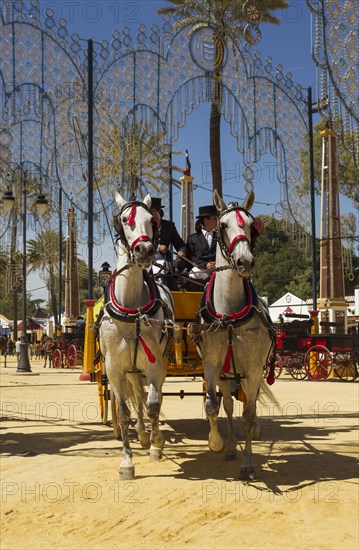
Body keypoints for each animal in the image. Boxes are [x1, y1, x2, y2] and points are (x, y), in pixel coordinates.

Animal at [100, 194, 174, 478]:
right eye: (124, 219)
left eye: (151, 220)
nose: (144, 250)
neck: (133, 311)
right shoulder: (114, 368)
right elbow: (123, 413)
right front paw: (127, 461)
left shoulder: (154, 363)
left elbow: (153, 404)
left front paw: (156, 444)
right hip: (131, 371)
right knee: (138, 398)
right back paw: (142, 434)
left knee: (153, 397)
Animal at [198, 191, 278, 484]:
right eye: (223, 225)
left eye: (251, 226)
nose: (245, 262)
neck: (229, 315)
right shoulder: (211, 366)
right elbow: (213, 407)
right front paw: (217, 443)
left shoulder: (253, 369)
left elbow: (249, 413)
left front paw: (248, 463)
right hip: (226, 374)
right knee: (230, 405)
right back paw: (232, 447)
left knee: (248, 405)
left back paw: (252, 434)